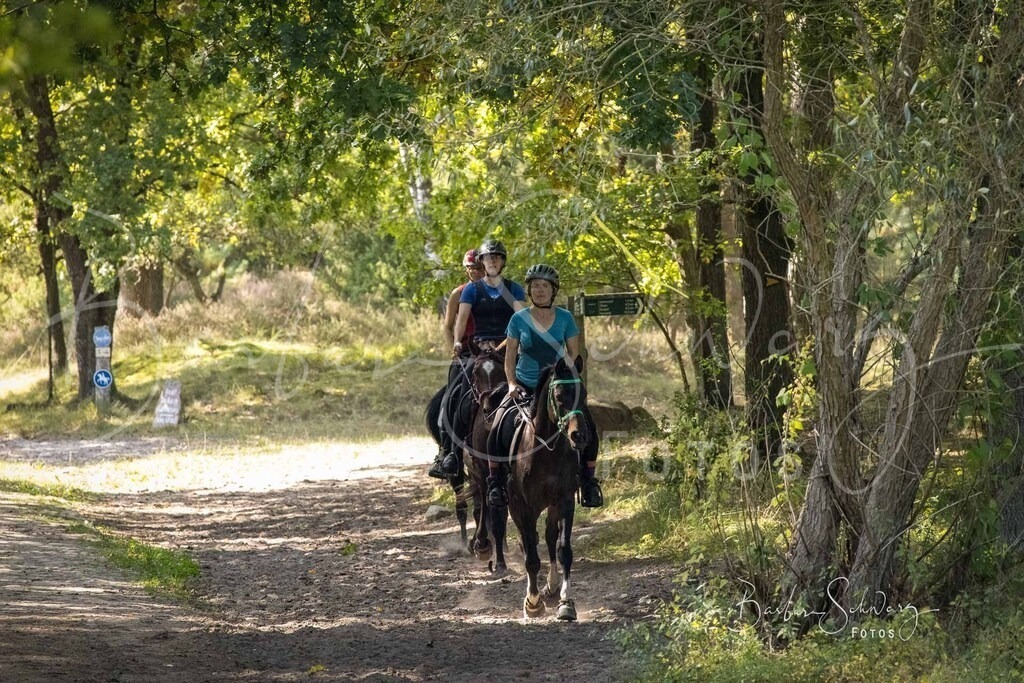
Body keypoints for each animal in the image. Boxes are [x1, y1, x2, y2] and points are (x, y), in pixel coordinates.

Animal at [501, 355, 593, 621]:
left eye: (584, 394)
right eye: (560, 395)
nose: (580, 436)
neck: (546, 452)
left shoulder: (565, 501)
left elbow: (563, 550)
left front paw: (566, 603)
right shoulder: (525, 507)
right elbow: (531, 555)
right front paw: (532, 602)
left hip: (551, 506)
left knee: (550, 536)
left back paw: (552, 586)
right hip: (515, 507)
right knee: (527, 541)